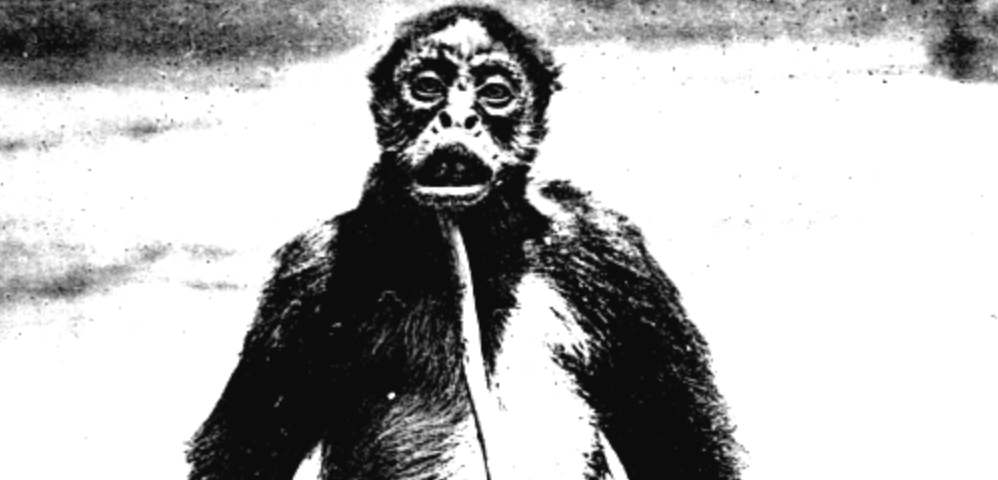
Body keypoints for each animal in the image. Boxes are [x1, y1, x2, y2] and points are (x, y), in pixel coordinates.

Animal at [187, 5, 740, 480]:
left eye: (494, 93)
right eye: (427, 87)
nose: (457, 118)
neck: (472, 245)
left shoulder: (609, 249)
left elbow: (680, 442)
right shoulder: (308, 273)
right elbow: (242, 453)